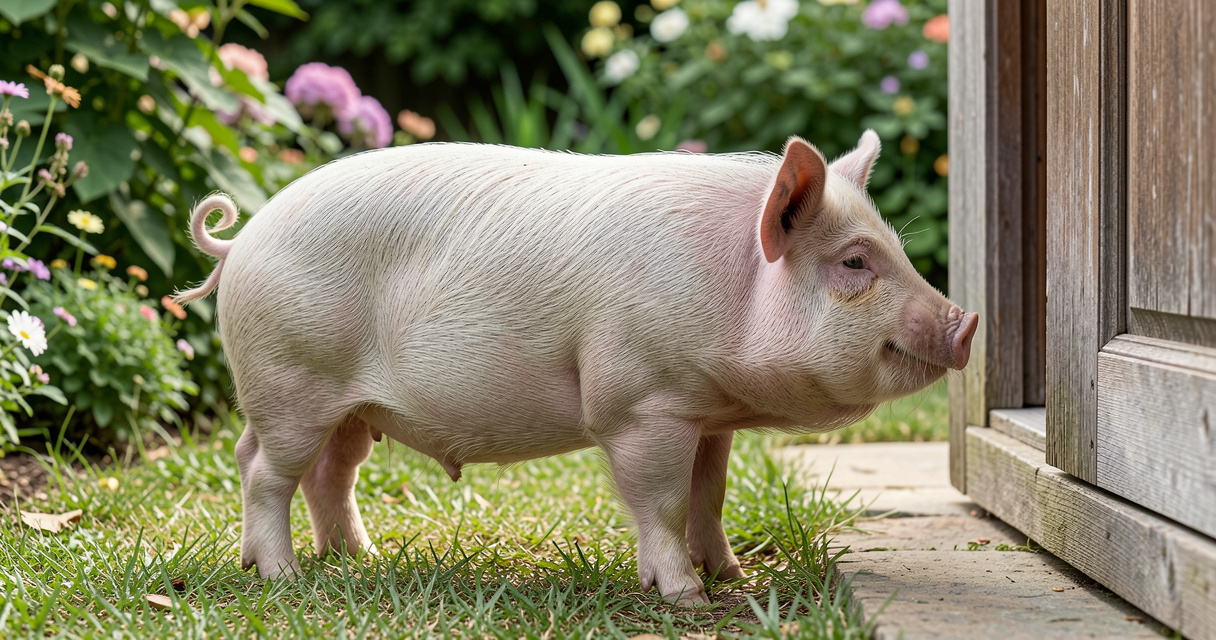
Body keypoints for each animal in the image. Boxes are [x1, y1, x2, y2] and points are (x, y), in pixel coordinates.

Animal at [176, 131, 976, 605]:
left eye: (896, 250)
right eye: (855, 263)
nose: (966, 321)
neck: (734, 286)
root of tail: (243, 236)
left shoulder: (707, 415)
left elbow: (710, 497)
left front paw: (733, 575)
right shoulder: (642, 403)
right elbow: (663, 502)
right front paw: (687, 598)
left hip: (341, 404)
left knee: (322, 473)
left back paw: (356, 561)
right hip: (290, 381)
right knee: (265, 472)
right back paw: (280, 575)